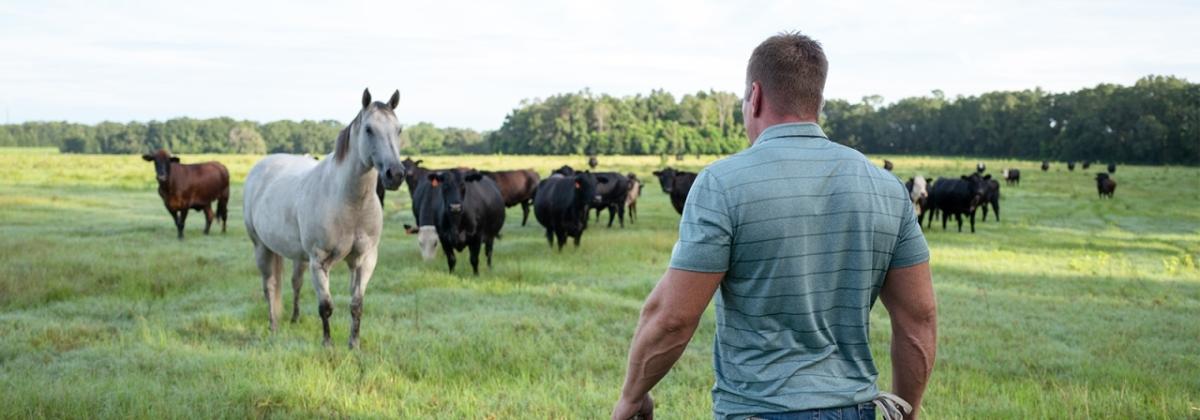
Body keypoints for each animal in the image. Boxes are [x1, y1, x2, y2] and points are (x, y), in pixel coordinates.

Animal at [243, 88, 408, 348]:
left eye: (398, 129)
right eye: (369, 129)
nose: (396, 175)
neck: (348, 203)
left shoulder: (365, 259)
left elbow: (356, 305)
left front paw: (354, 345)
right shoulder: (319, 261)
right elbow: (326, 306)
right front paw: (328, 345)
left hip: (297, 256)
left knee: (295, 283)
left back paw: (294, 319)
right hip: (261, 247)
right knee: (269, 287)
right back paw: (273, 327)